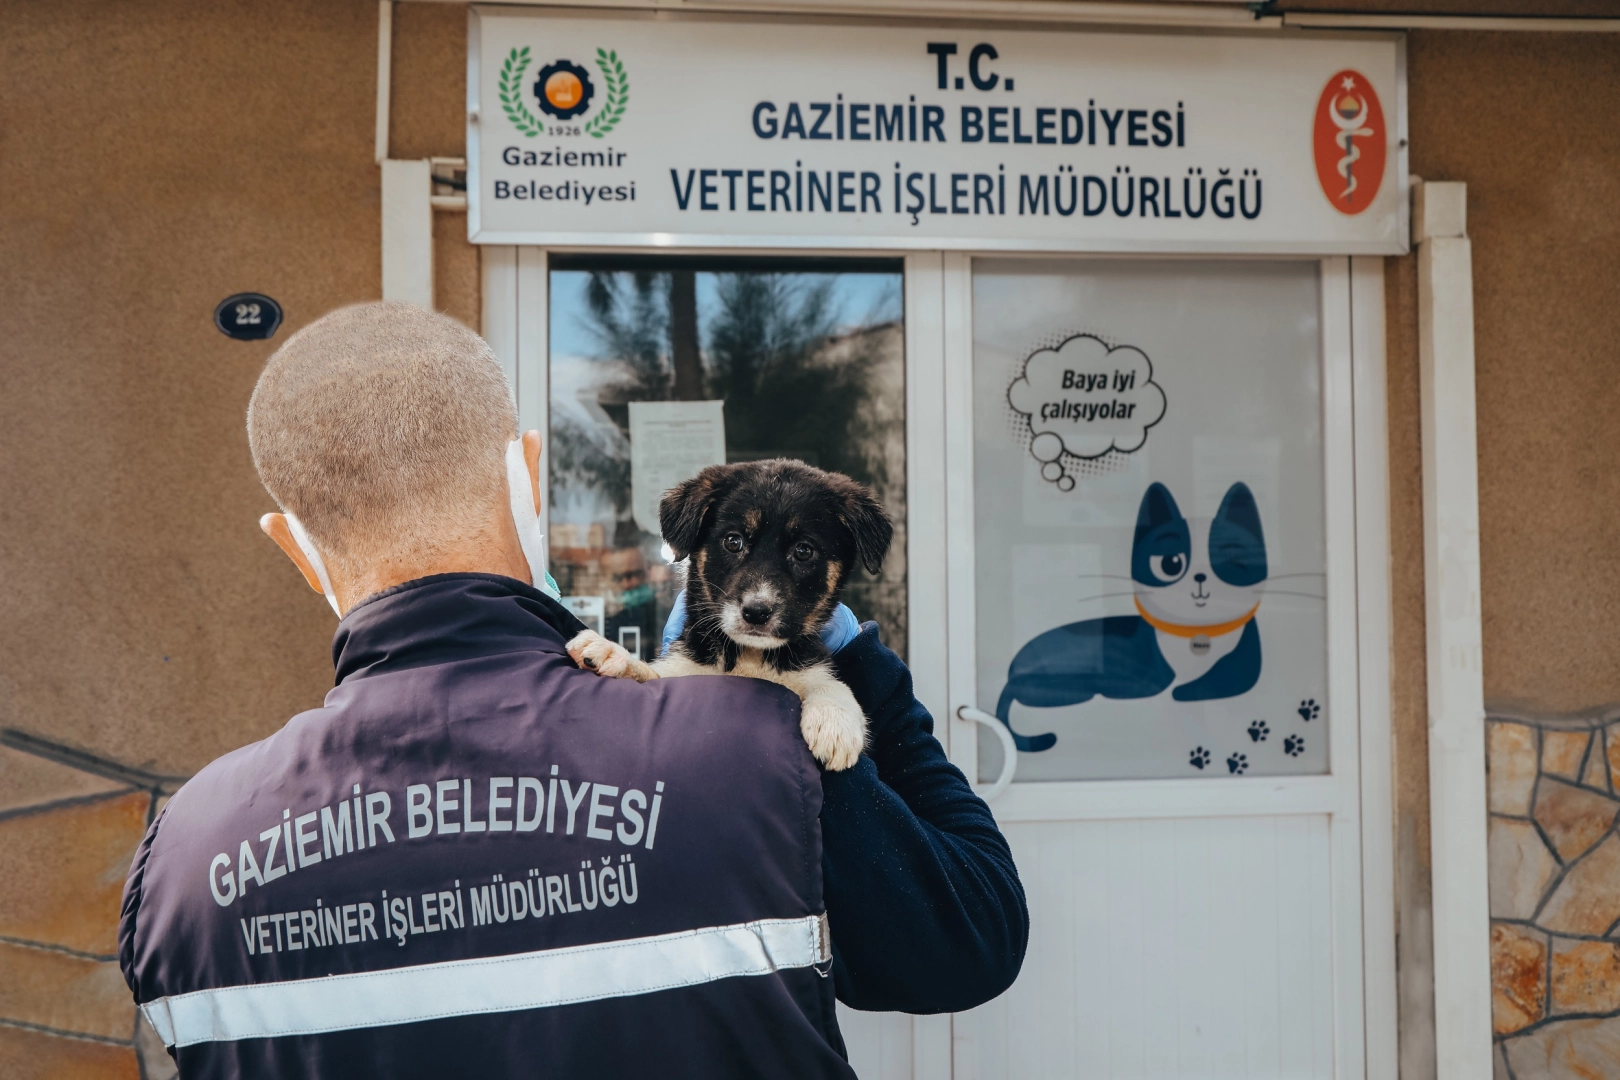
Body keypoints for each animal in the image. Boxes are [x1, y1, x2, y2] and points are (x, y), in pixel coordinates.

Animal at [567, 459, 900, 773]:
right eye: (733, 541)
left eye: (804, 551)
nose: (756, 612)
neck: (750, 657)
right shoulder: (682, 671)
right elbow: (651, 674)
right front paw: (615, 654)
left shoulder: (808, 666)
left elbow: (827, 682)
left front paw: (834, 719)